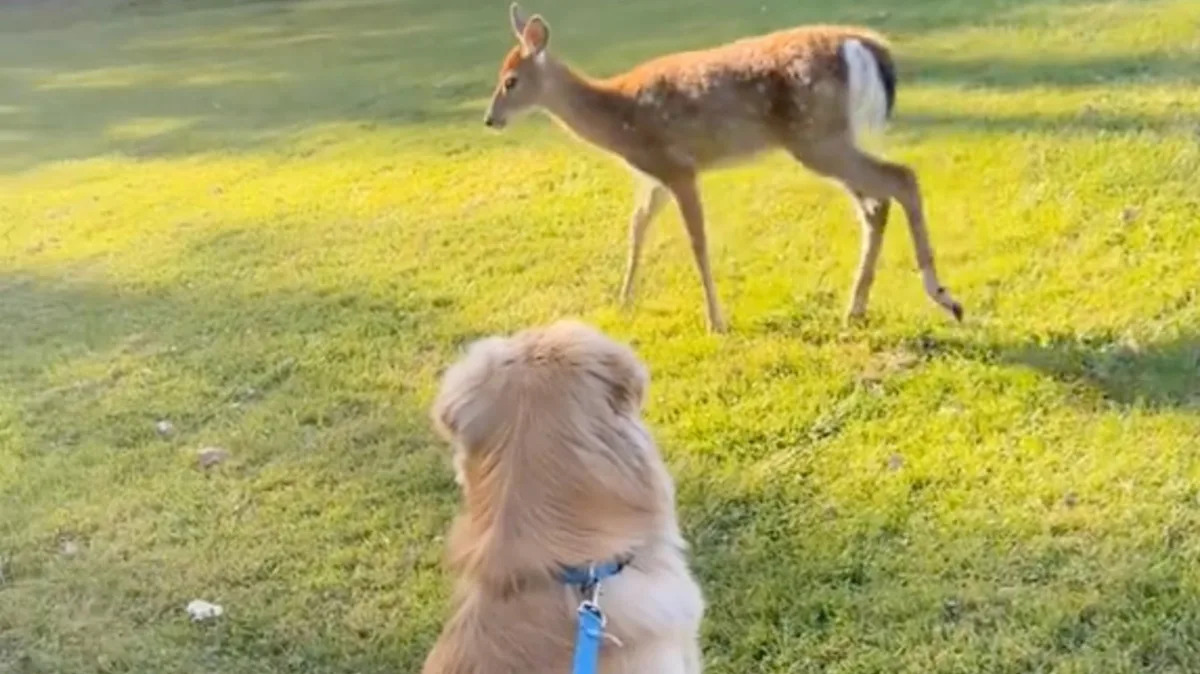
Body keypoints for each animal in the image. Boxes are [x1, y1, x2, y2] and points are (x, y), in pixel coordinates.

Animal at [484, 4, 964, 333]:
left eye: (511, 81)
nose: (490, 119)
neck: (620, 118)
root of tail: (864, 46)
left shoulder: (679, 167)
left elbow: (697, 242)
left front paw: (715, 320)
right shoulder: (656, 177)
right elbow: (637, 227)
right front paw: (624, 301)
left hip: (816, 138)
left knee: (901, 179)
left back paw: (943, 297)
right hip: (829, 139)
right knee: (876, 204)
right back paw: (856, 308)